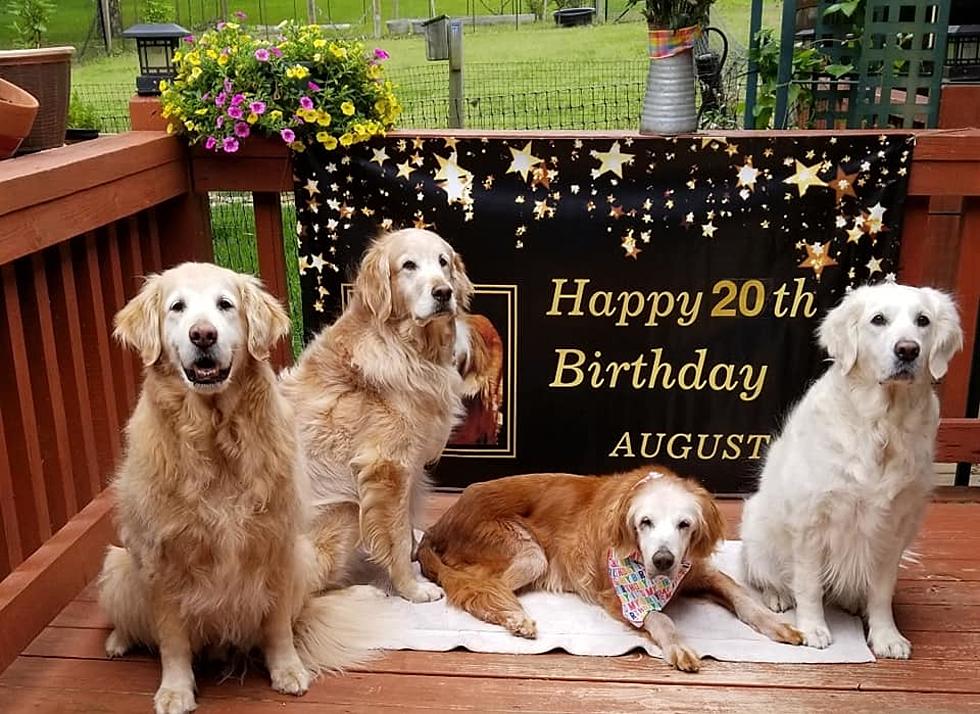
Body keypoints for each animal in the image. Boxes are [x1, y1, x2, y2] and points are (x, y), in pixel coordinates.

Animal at [99, 264, 388, 712]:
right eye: (177, 307)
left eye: (225, 304)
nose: (203, 335)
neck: (215, 435)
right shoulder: (162, 559)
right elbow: (172, 639)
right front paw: (175, 689)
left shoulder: (277, 546)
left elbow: (278, 626)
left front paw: (287, 669)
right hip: (116, 567)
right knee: (137, 624)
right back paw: (118, 640)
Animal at [280, 228, 474, 600]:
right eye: (409, 265)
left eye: (443, 261)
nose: (443, 292)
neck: (407, 347)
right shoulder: (387, 467)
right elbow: (395, 536)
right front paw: (412, 588)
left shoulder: (410, 464)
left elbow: (406, 523)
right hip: (343, 510)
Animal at [418, 468, 800, 668]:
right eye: (645, 522)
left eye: (684, 524)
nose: (663, 561)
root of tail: (443, 521)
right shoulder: (619, 595)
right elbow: (659, 617)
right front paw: (676, 645)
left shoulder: (698, 571)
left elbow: (744, 599)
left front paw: (778, 625)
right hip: (530, 554)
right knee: (478, 591)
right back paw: (515, 617)